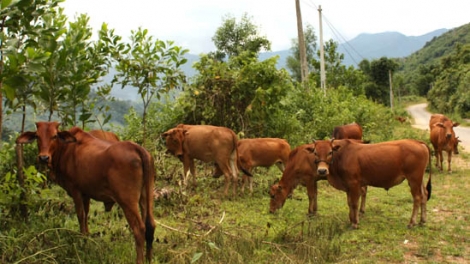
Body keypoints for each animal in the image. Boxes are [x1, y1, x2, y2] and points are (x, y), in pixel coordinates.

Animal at [16, 122, 155, 264]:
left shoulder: (75, 189)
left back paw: (140, 260)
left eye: (54, 136)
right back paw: (149, 258)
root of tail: (137, 149)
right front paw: (87, 237)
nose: (43, 158)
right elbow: (86, 213)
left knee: (139, 229)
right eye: (37, 136)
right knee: (151, 225)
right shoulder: (86, 193)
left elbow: (80, 215)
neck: (65, 149)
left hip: (127, 201)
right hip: (147, 195)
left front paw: (82, 240)